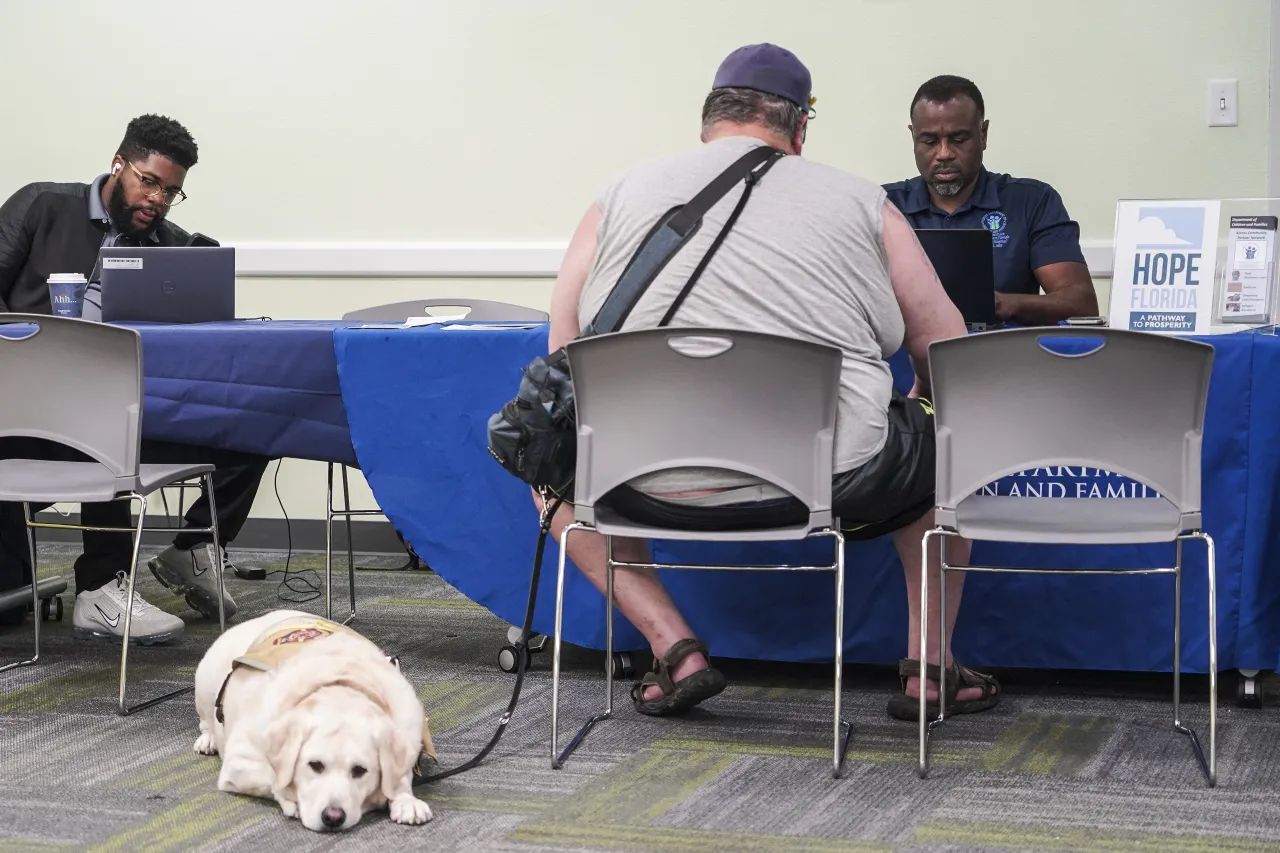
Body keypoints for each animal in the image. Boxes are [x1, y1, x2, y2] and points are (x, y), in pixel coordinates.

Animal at [192, 607, 435, 824]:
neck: (340, 687)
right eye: (315, 765)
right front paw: (292, 798)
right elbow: (273, 775)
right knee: (206, 719)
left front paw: (406, 801)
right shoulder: (238, 761)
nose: (333, 817)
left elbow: (399, 778)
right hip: (205, 682)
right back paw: (208, 740)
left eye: (359, 770)